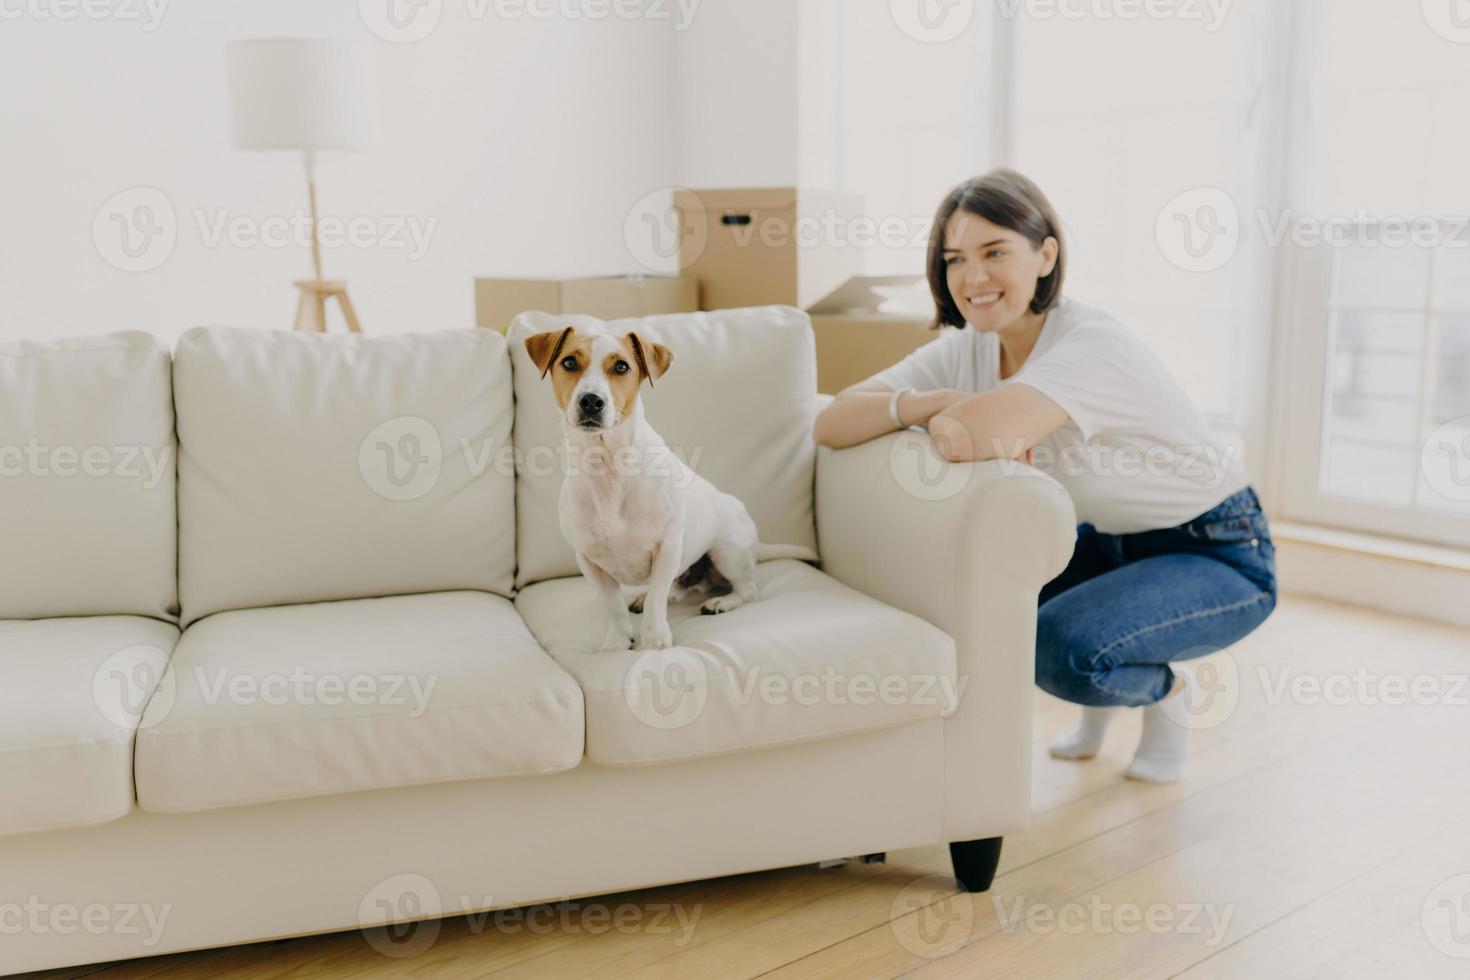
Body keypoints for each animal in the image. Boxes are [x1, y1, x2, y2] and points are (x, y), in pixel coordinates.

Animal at [526, 326, 811, 655]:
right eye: (570, 362)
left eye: (621, 366)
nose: (591, 401)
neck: (607, 463)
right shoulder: (589, 560)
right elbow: (614, 605)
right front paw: (618, 640)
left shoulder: (668, 547)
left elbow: (656, 600)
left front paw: (654, 640)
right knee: (685, 586)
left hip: (727, 553)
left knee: (748, 590)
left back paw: (721, 602)